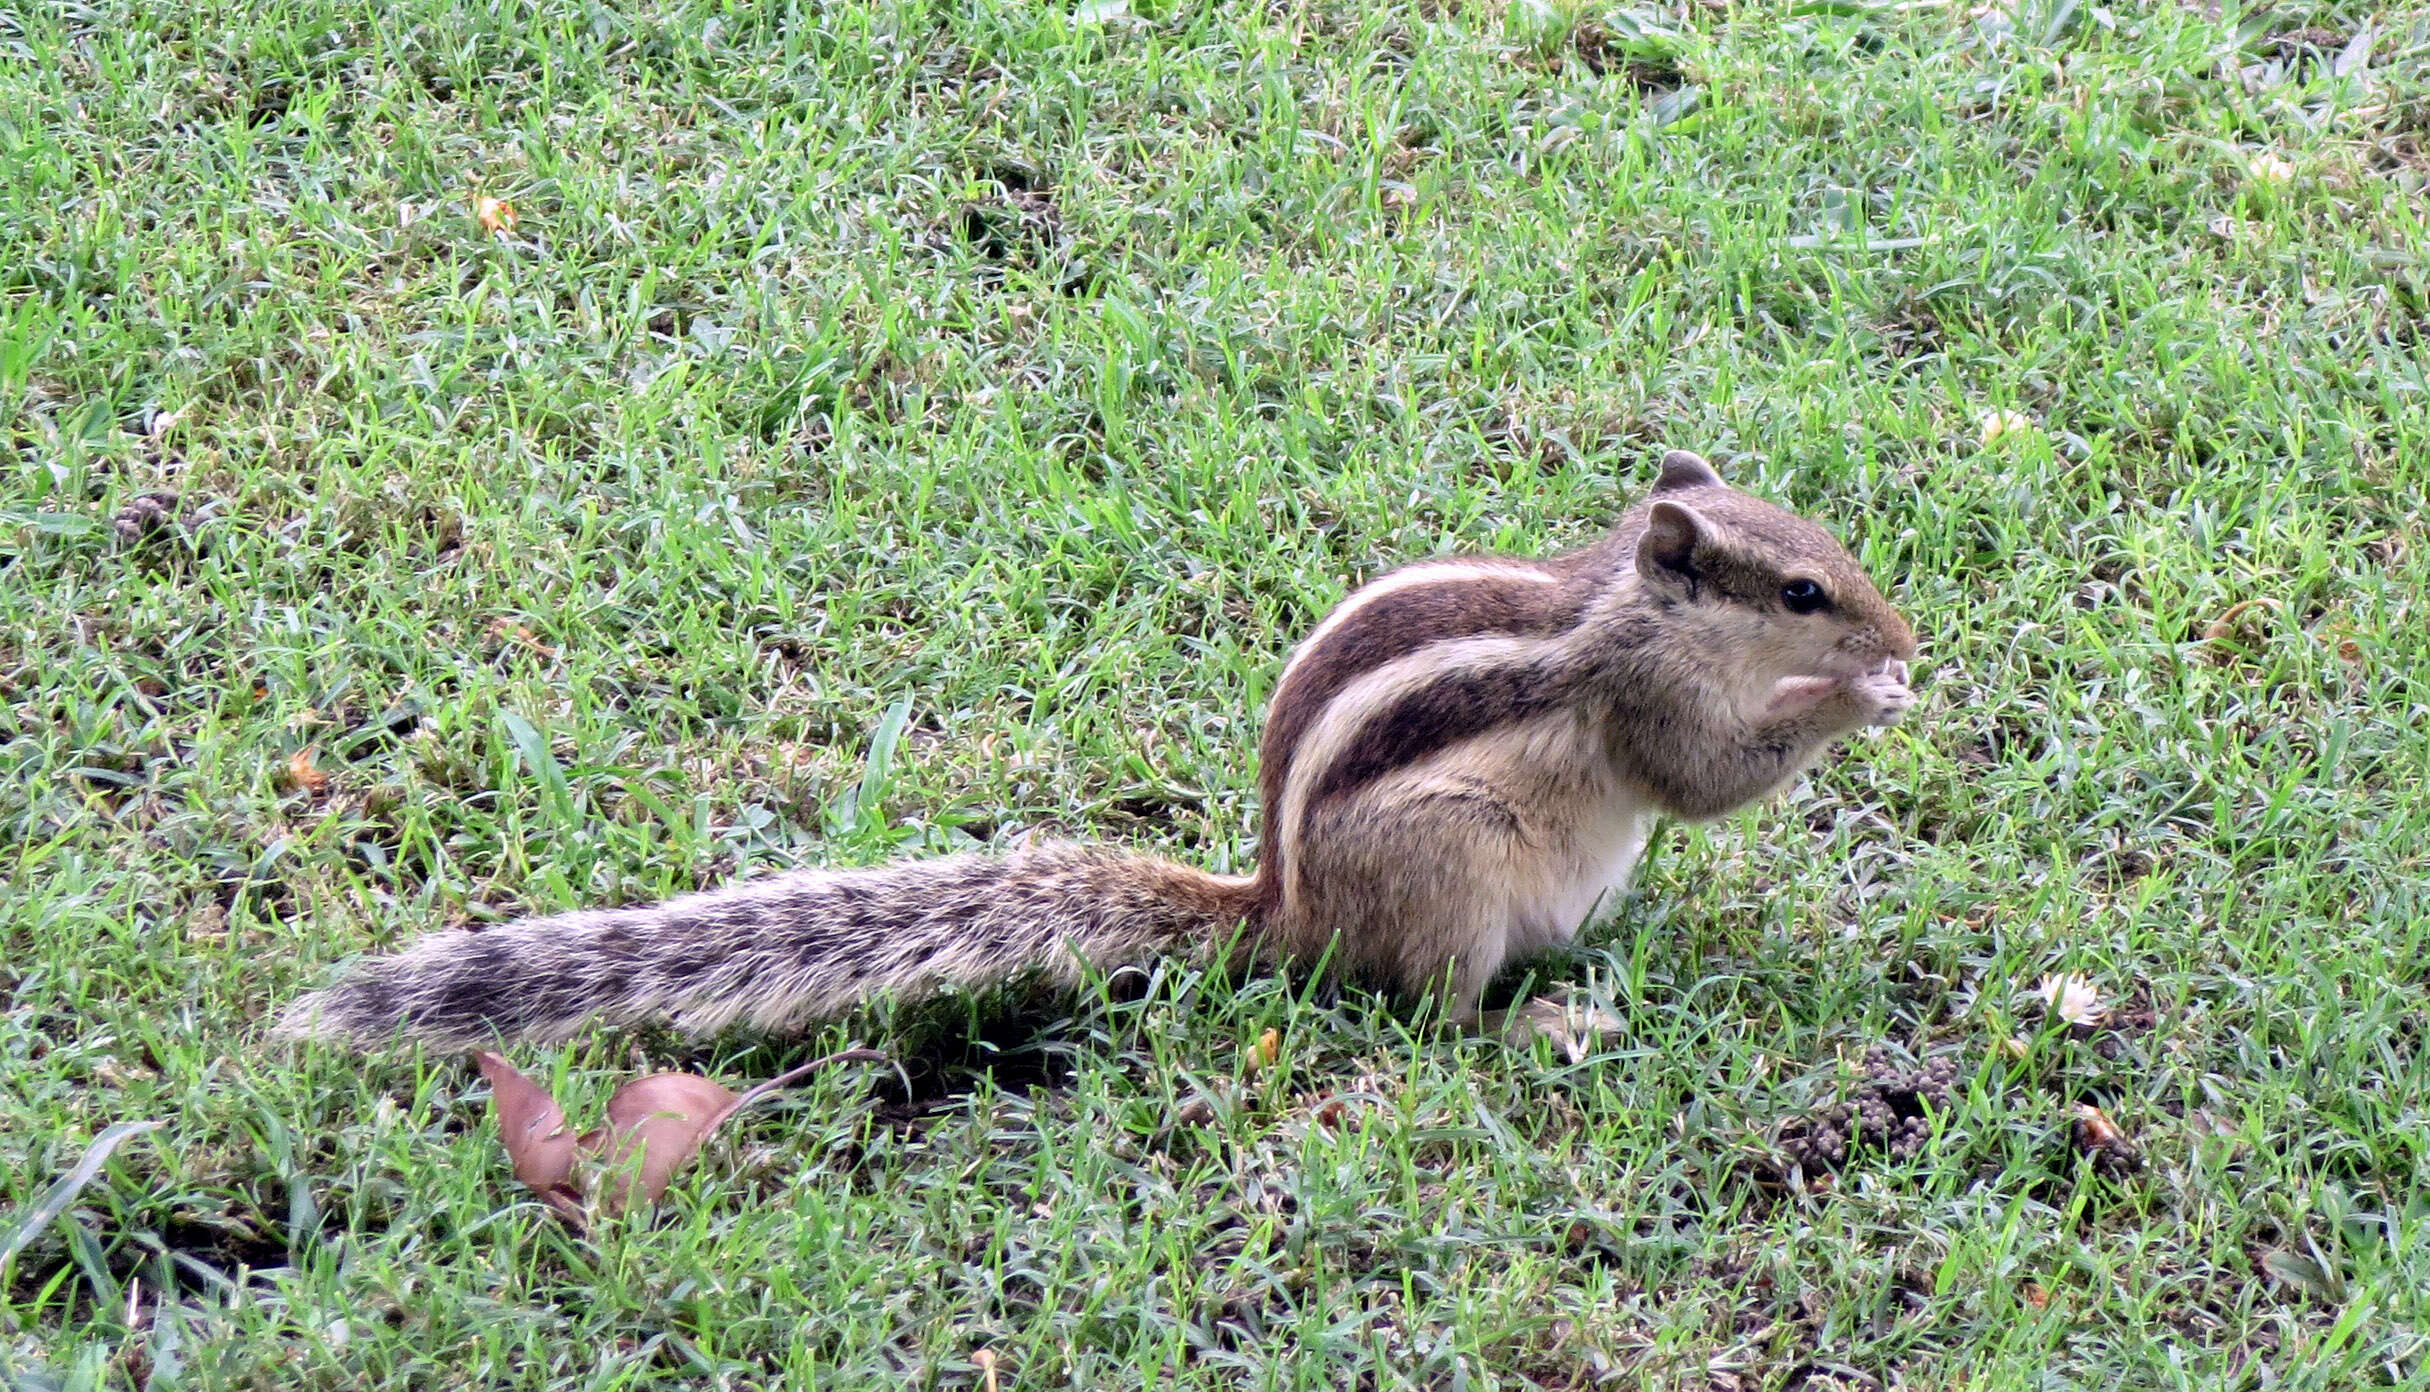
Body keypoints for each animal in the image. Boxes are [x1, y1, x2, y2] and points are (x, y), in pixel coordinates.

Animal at [279, 449, 1914, 1049]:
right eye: (1803, 593)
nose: (1897, 633)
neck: (1627, 604)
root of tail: (1286, 917)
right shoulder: (1643, 704)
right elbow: (1703, 780)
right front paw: (1863, 702)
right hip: (1453, 872)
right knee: (1432, 1018)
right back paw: (1538, 1021)